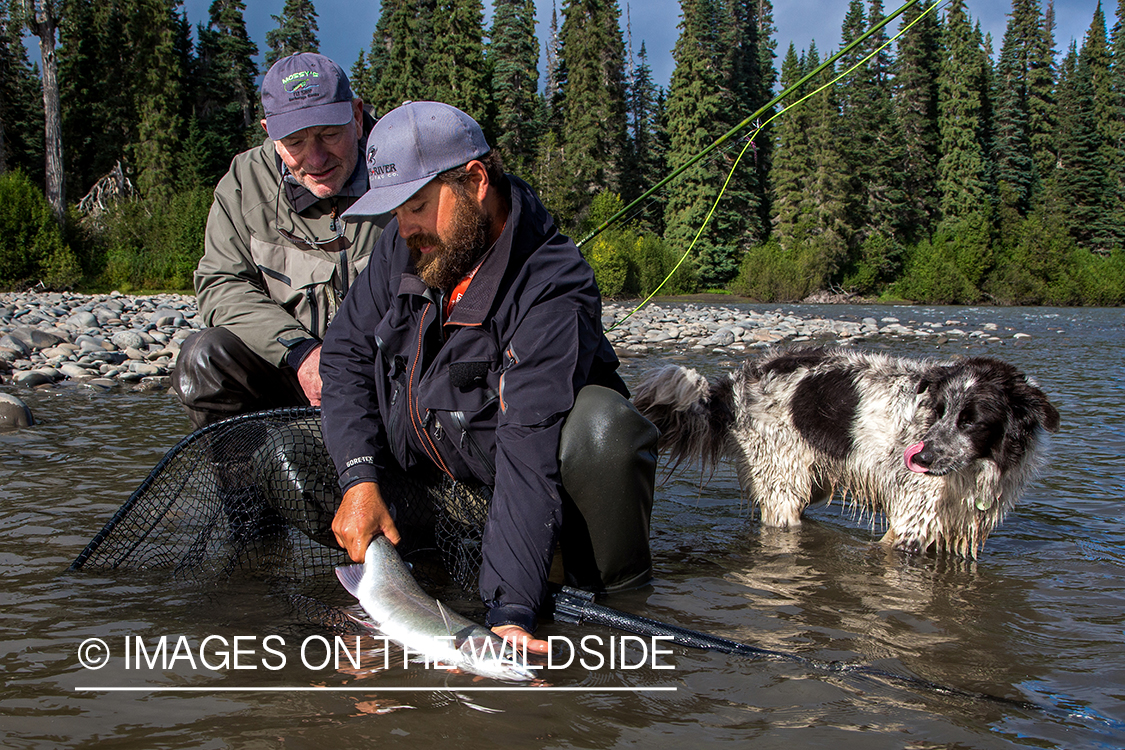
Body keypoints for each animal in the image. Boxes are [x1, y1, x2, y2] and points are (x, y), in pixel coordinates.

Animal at [639, 348, 1057, 555]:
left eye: (972, 421)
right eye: (938, 411)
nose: (920, 459)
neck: (977, 466)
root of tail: (736, 383)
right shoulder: (912, 522)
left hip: (813, 481)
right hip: (783, 481)